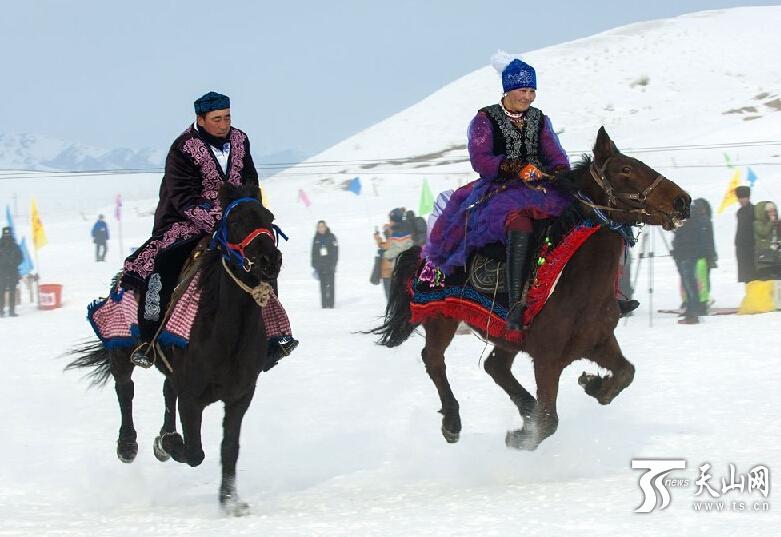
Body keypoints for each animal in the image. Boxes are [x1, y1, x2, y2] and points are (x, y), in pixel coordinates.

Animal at [66, 184, 280, 516]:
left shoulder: (240, 396)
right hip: (121, 347)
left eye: (269, 218)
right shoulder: (192, 398)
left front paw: (230, 502)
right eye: (234, 222)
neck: (226, 334)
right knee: (124, 389)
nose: (271, 260)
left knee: (167, 391)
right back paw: (129, 446)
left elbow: (229, 449)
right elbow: (194, 452)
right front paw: (166, 446)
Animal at [372, 127, 688, 450]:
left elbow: (626, 373)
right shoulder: (547, 360)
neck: (579, 289)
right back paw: (453, 422)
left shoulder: (599, 342)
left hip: (503, 334)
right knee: (434, 359)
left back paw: (525, 406)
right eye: (626, 170)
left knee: (494, 366)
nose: (683, 202)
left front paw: (592, 384)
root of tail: (424, 252)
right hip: (441, 319)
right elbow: (549, 422)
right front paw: (521, 436)